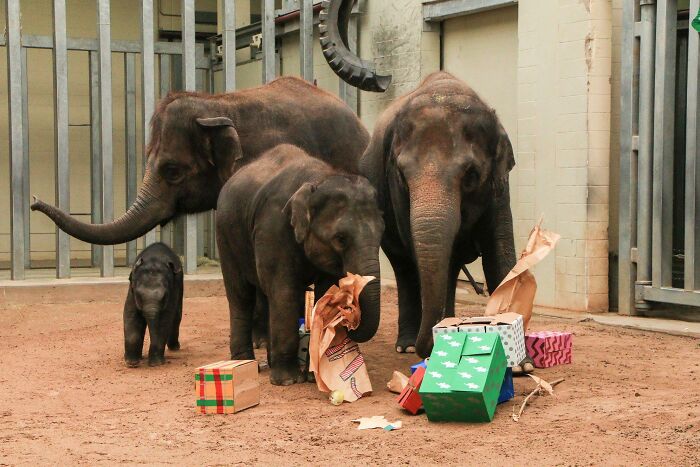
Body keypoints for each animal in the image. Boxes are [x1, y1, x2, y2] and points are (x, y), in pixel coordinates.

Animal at [216, 144, 384, 385]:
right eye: (340, 238)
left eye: (382, 232)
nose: (350, 315)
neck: (319, 178)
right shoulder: (273, 226)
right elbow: (285, 291)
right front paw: (288, 381)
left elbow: (324, 291)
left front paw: (314, 376)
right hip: (226, 237)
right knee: (241, 295)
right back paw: (244, 363)